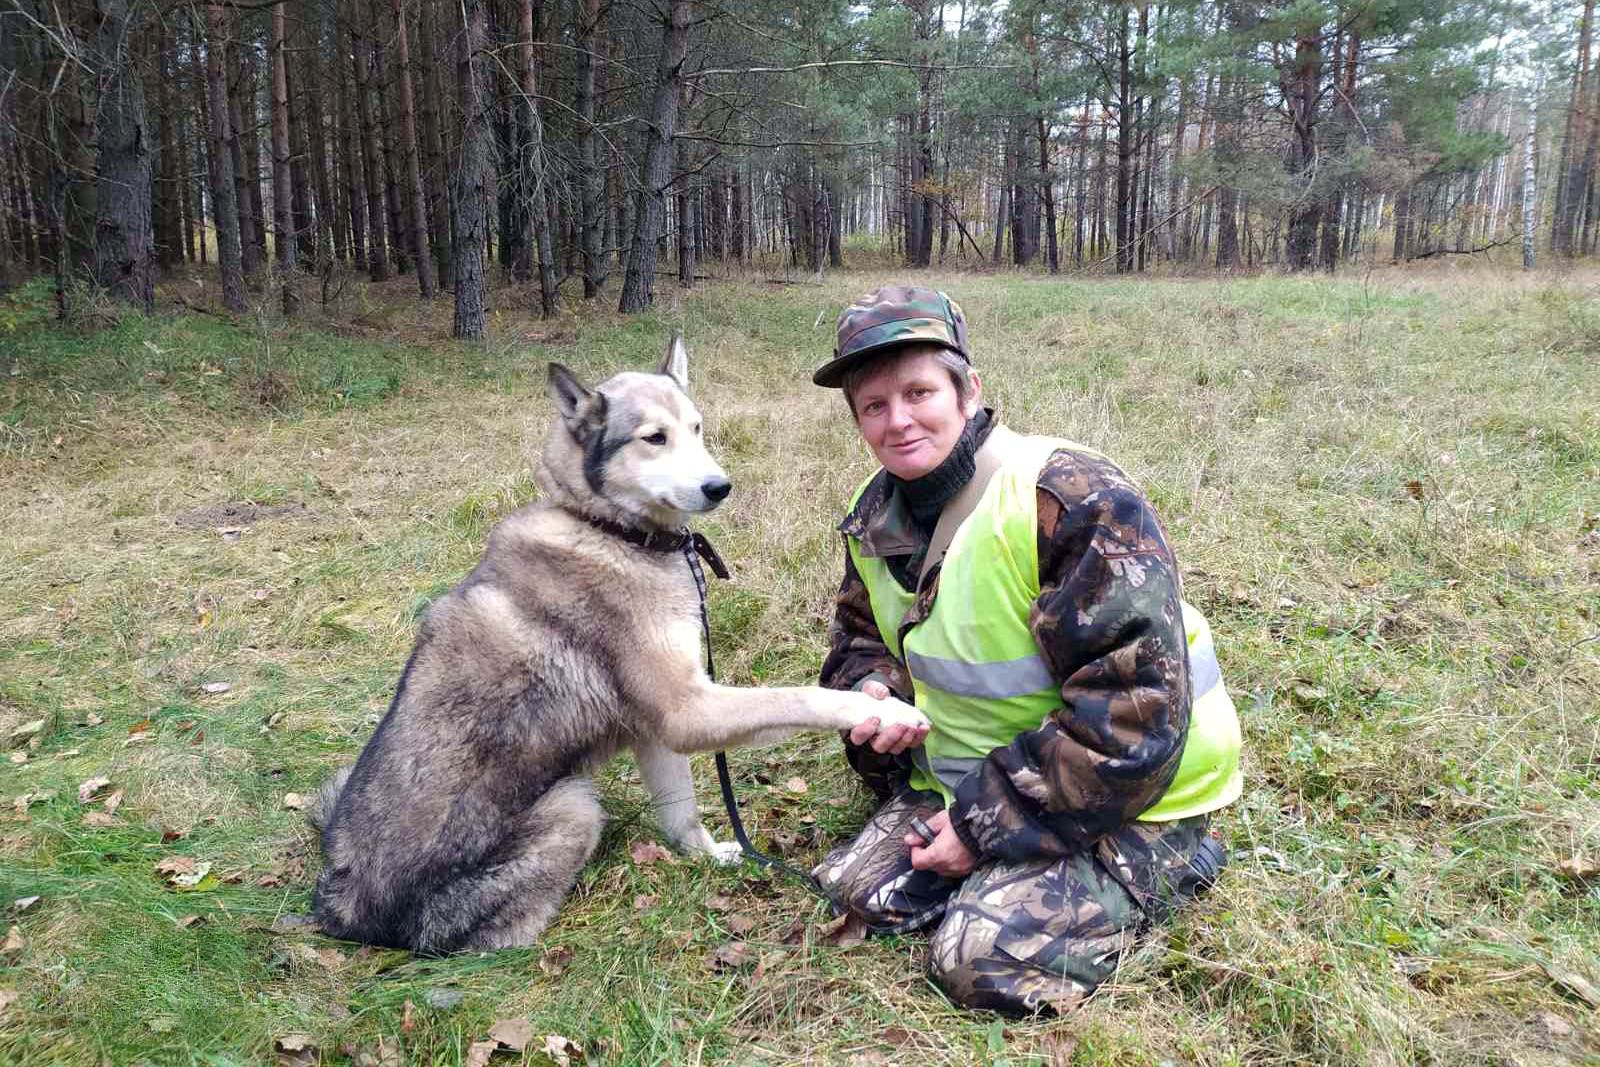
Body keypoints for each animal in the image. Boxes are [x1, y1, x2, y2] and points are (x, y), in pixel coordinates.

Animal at [307, 335, 928, 953]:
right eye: (653, 438)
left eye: (697, 428)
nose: (720, 487)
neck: (609, 530)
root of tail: (342, 908)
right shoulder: (688, 709)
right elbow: (803, 697)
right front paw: (881, 711)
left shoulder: (657, 729)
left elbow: (681, 813)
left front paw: (706, 857)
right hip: (574, 806)